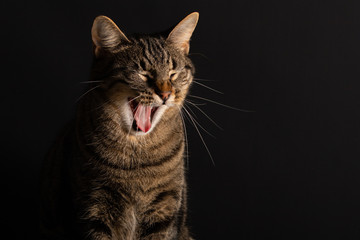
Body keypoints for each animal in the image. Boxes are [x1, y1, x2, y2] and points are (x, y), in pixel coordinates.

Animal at [40, 12, 201, 240]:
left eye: (173, 73)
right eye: (143, 73)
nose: (166, 94)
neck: (137, 155)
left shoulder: (165, 209)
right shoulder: (93, 208)